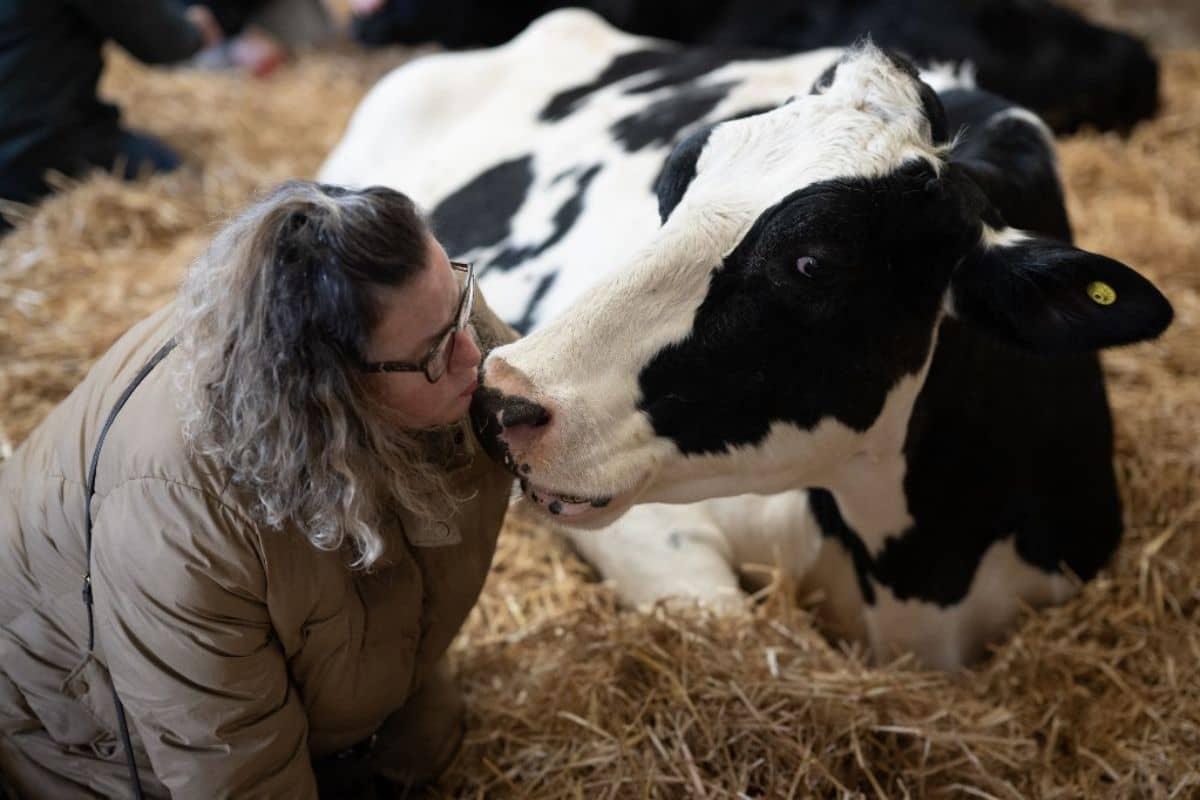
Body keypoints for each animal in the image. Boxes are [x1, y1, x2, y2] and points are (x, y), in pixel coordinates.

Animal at [319, 10, 1171, 671]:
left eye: (813, 262)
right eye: (672, 186)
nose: (502, 398)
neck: (925, 575)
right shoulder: (653, 529)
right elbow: (722, 621)